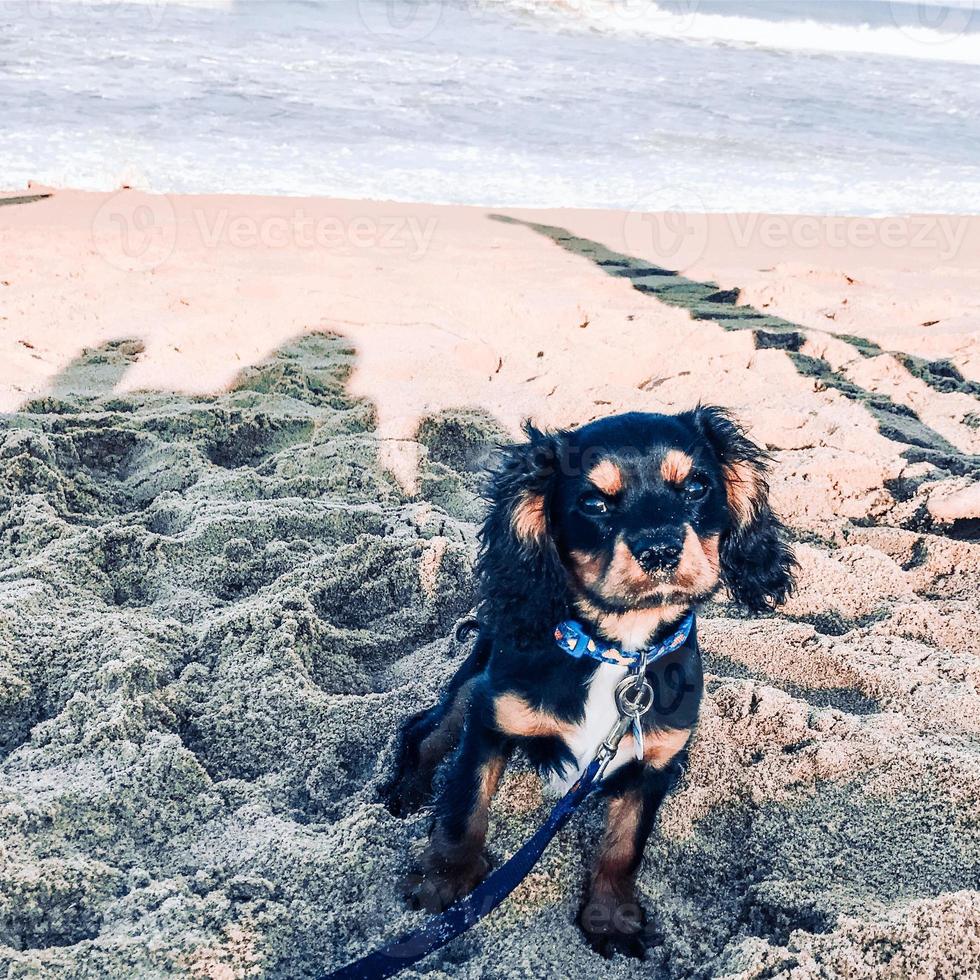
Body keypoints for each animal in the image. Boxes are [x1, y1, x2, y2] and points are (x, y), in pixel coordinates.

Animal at [378, 406, 792, 956]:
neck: (621, 651)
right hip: (474, 684)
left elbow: (624, 845)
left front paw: (610, 919)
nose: (659, 549)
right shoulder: (492, 718)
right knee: (424, 730)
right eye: (594, 502)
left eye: (697, 487)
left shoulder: (655, 762)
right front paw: (442, 882)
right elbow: (465, 806)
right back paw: (406, 790)